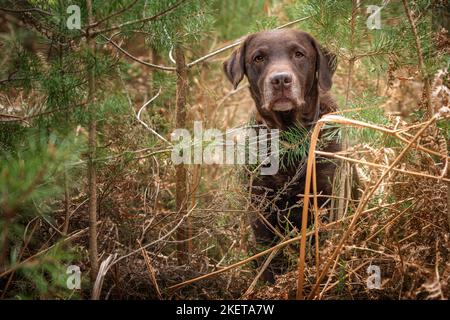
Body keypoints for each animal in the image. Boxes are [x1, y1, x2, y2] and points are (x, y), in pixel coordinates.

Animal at [223, 28, 340, 282]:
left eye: (299, 54)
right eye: (258, 58)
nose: (280, 80)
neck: (290, 138)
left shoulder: (327, 198)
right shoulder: (260, 209)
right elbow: (270, 259)